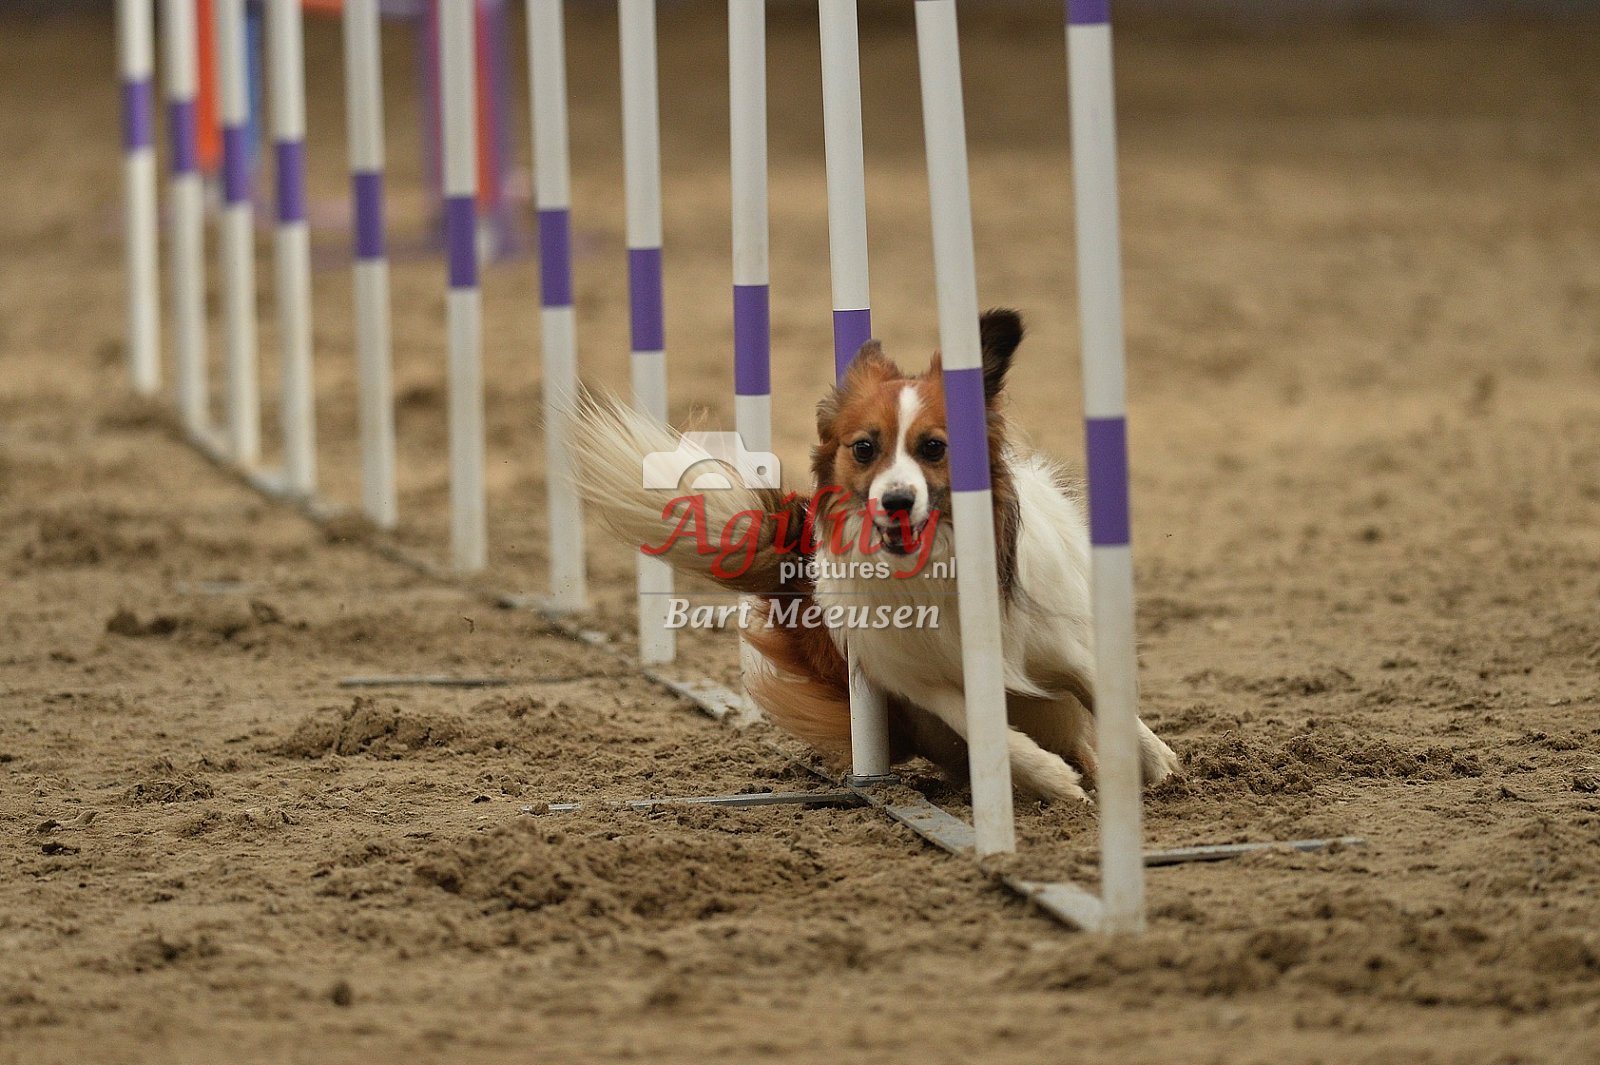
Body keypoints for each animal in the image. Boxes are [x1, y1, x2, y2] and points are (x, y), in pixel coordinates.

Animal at [568, 309, 1179, 802]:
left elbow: (1109, 697)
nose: (897, 500)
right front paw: (1051, 779)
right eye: (864, 448)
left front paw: (1155, 764)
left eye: (933, 447)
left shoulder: (1060, 645)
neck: (933, 561)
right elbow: (985, 726)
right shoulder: (917, 678)